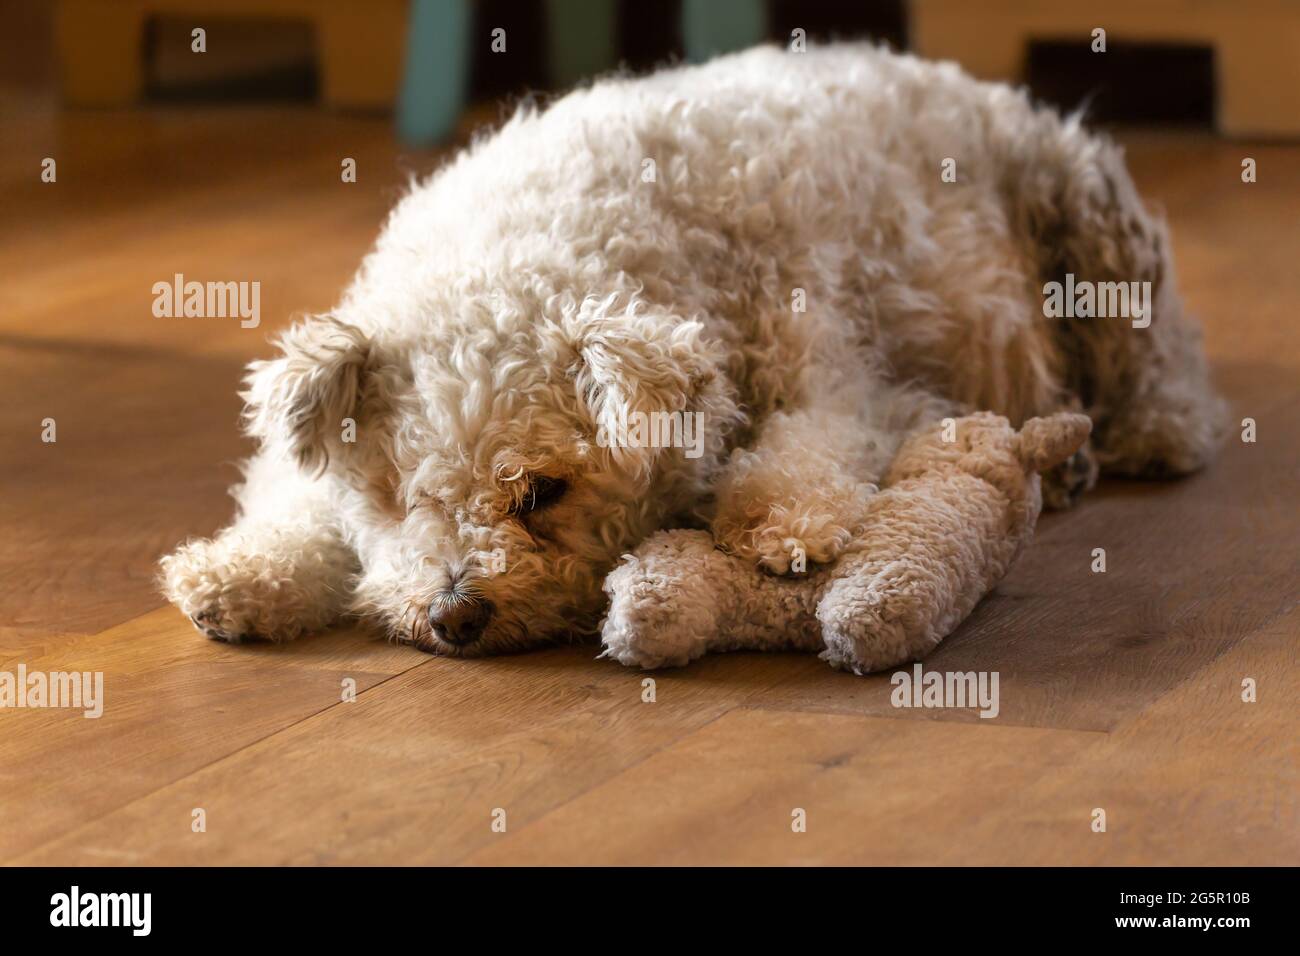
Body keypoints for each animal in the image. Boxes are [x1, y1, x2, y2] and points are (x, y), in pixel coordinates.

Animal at [159, 44, 1216, 665]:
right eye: (394, 499)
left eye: (541, 492)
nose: (454, 618)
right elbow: (295, 506)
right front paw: (238, 575)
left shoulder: (847, 371)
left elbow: (809, 447)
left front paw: (778, 520)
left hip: (1090, 218)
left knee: (1158, 354)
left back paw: (1152, 431)